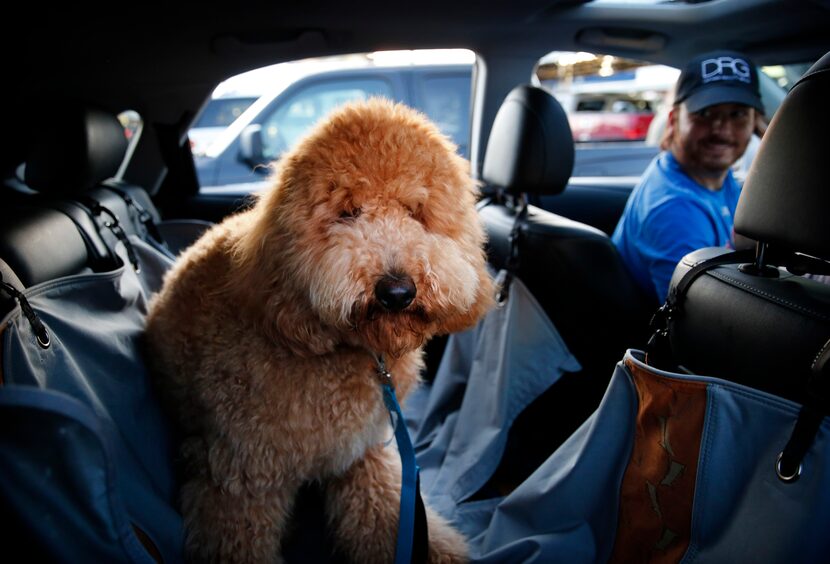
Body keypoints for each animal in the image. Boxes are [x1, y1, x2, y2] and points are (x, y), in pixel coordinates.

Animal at [145, 99, 494, 560]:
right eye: (347, 212)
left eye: (416, 212)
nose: (397, 291)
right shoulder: (241, 478)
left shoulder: (361, 454)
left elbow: (383, 513)